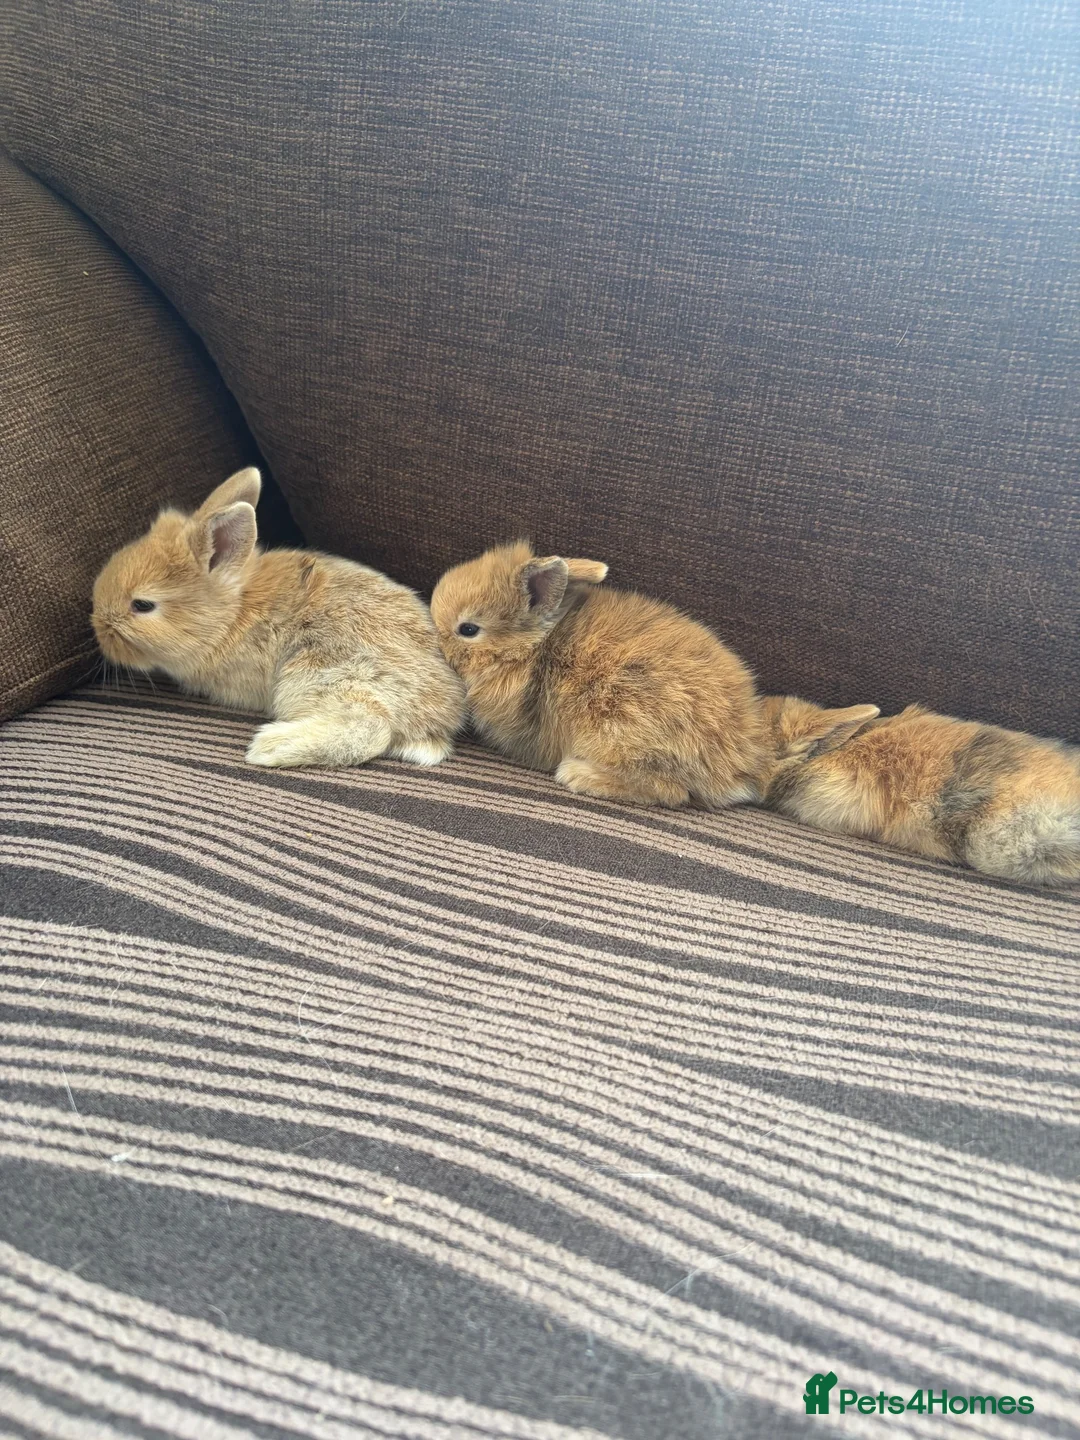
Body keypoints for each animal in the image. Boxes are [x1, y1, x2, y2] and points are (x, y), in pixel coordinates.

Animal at [91, 467, 465, 769]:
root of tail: (439, 720)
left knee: (370, 727)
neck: (229, 616)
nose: (99, 631)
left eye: (142, 605)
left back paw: (269, 747)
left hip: (321, 671)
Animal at [429, 541, 764, 808]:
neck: (531, 650)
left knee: (672, 792)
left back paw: (577, 775)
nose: (435, 640)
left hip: (624, 731)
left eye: (468, 629)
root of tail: (738, 766)